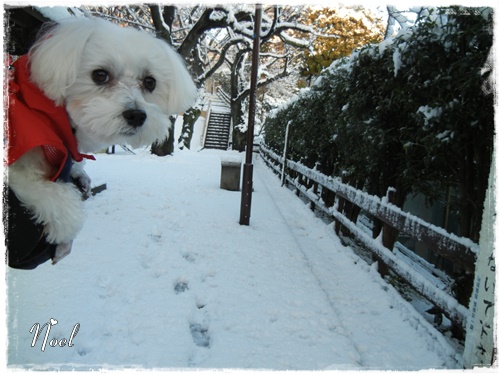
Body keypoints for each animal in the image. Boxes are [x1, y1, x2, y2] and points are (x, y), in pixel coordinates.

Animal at [5, 17, 198, 268]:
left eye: (150, 82)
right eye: (99, 75)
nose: (137, 115)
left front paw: (79, 171)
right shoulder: (22, 157)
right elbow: (56, 197)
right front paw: (65, 233)